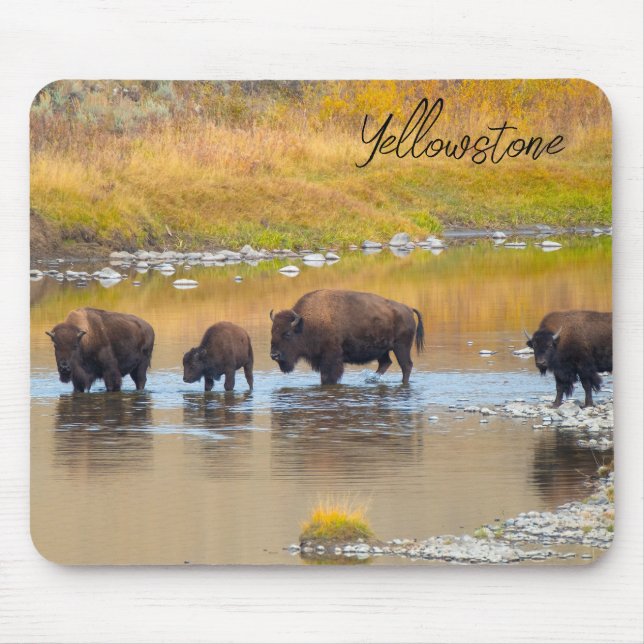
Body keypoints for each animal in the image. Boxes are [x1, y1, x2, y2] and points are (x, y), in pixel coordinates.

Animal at [269, 289, 425, 385]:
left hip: (401, 347)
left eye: (287, 333)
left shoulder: (331, 358)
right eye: (272, 332)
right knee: (385, 363)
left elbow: (328, 377)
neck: (306, 323)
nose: (274, 355)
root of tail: (408, 309)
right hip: (383, 350)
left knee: (406, 366)